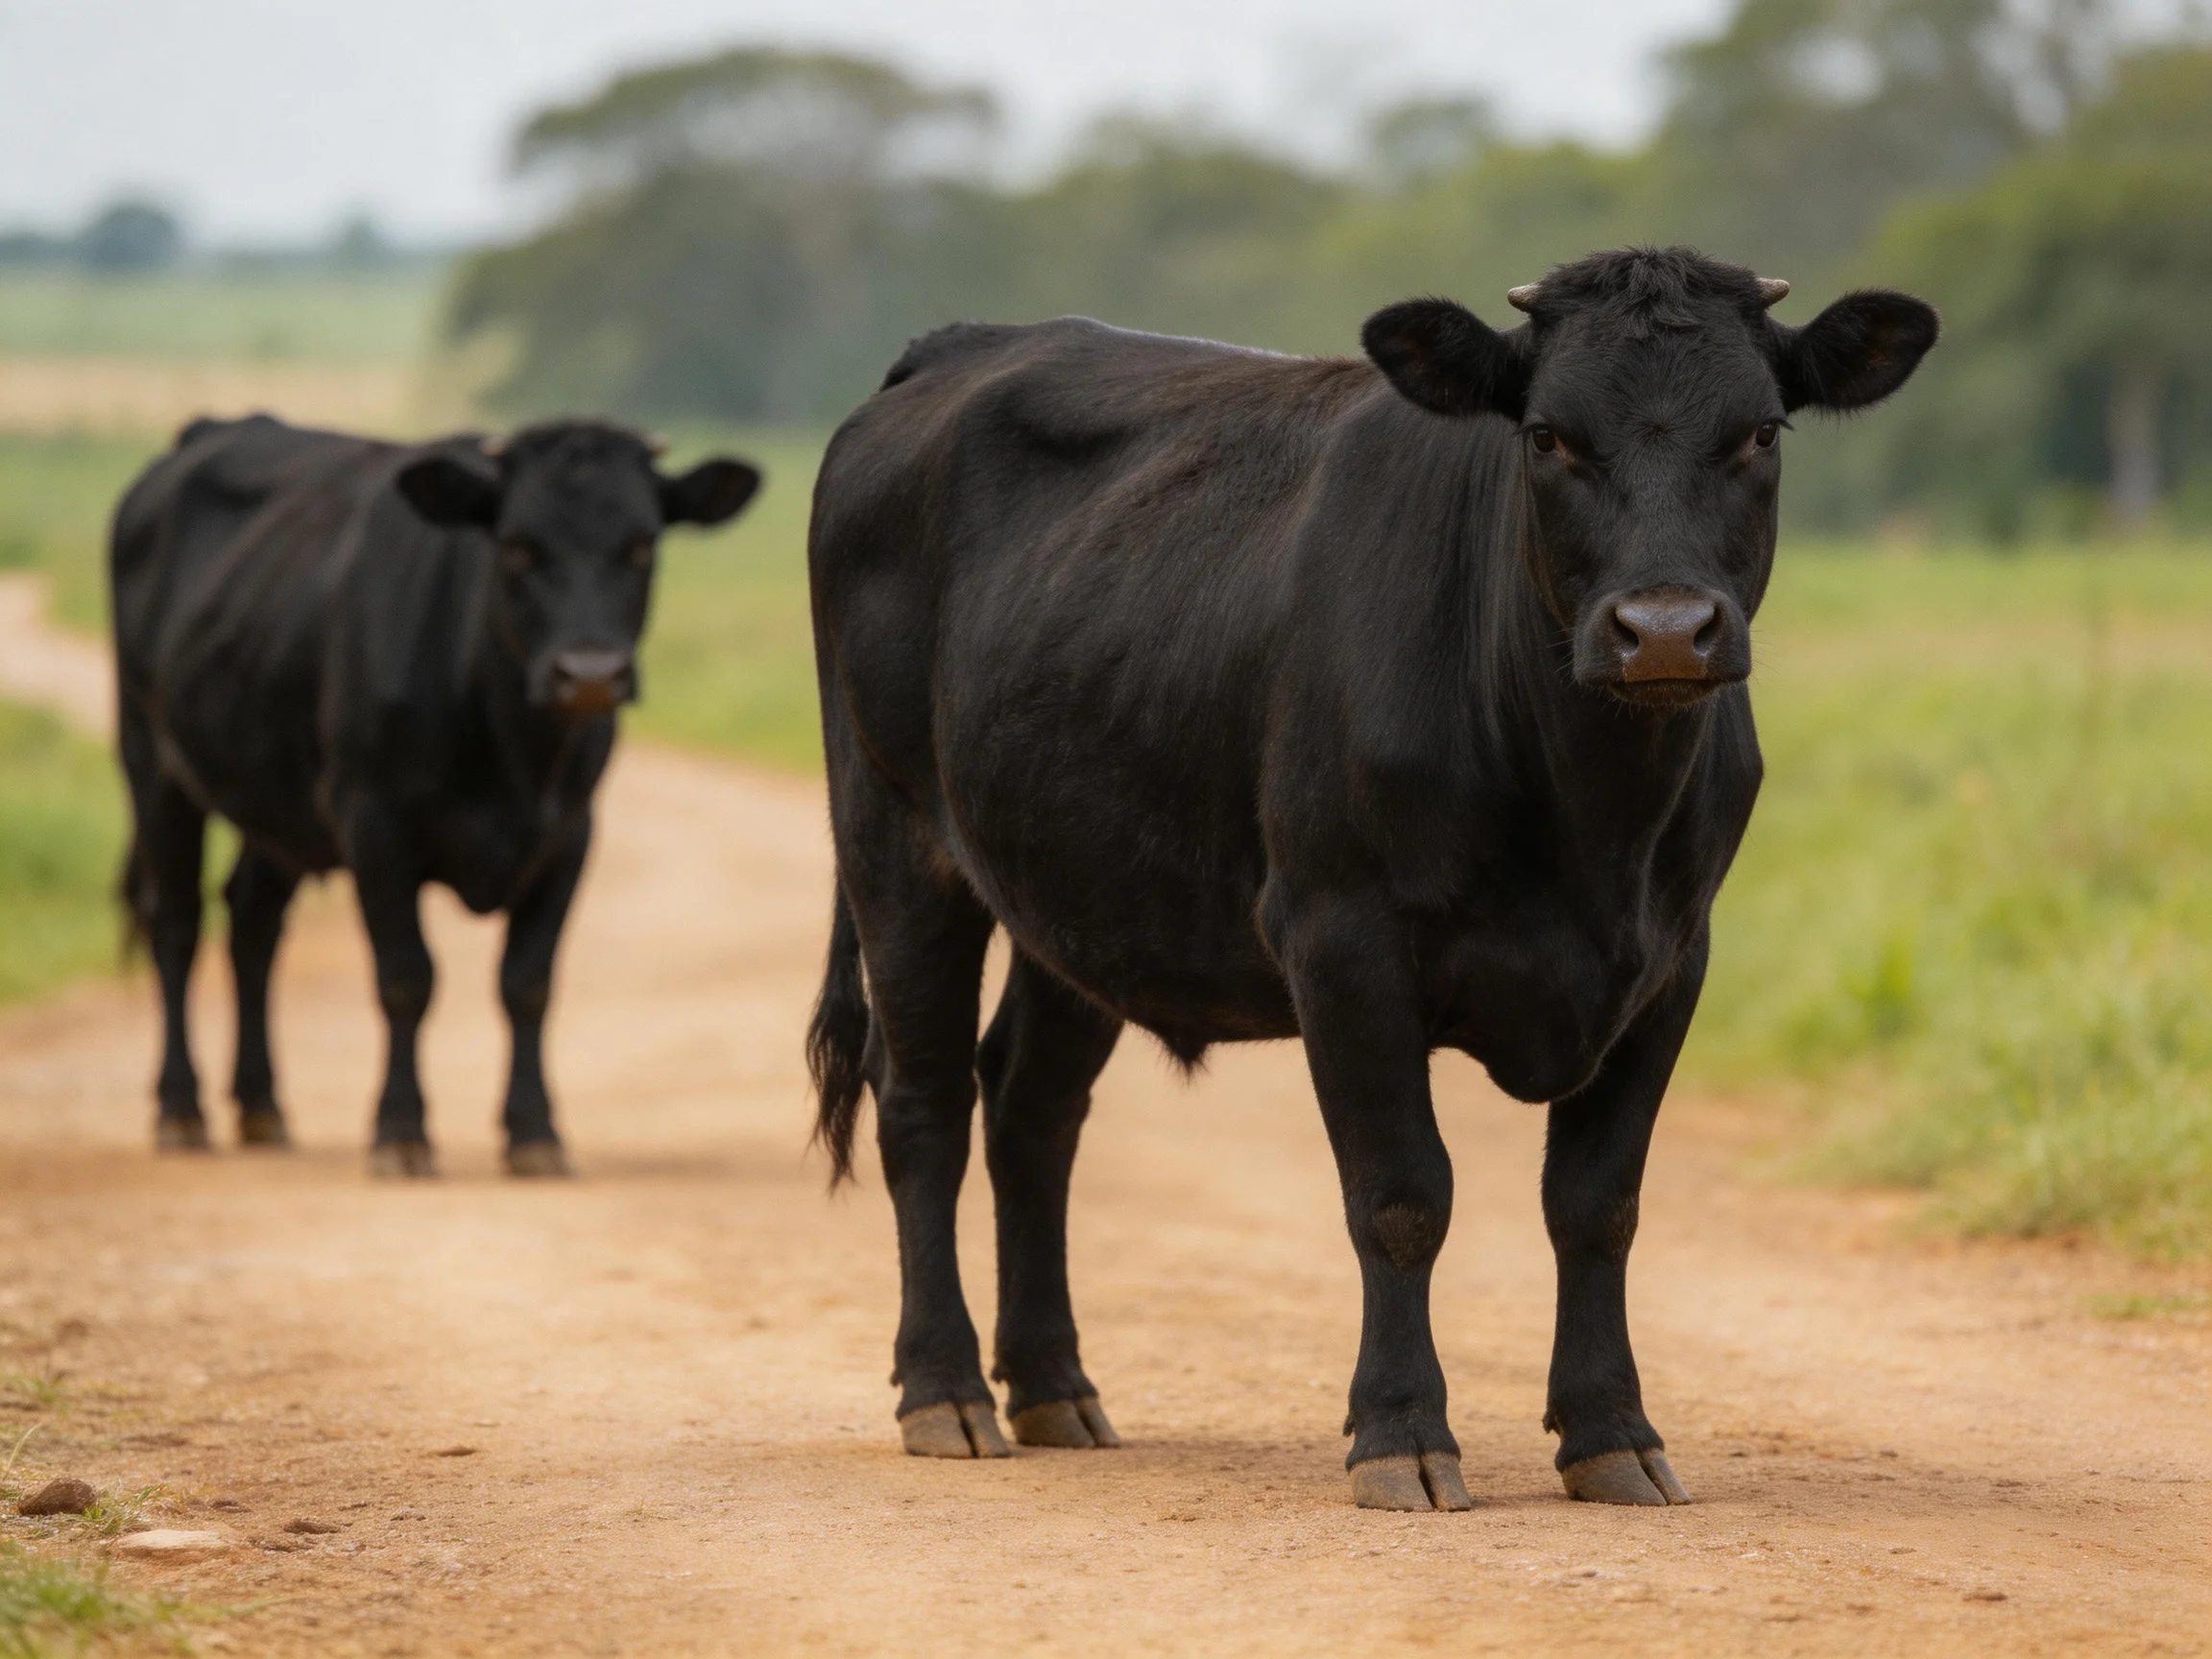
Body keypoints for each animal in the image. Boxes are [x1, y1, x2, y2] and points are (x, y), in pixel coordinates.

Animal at [111, 414, 759, 1177]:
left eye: (641, 544)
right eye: (516, 545)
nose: (591, 675)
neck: (511, 752)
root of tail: (216, 428)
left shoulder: (570, 835)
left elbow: (527, 982)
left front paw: (535, 1131)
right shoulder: (374, 825)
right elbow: (405, 978)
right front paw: (400, 1130)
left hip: (274, 798)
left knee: (252, 923)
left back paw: (262, 1105)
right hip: (153, 766)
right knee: (176, 923)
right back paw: (180, 1109)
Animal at [804, 247, 1937, 1508]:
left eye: (1761, 432)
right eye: (1547, 436)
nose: (1663, 630)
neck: (1590, 819)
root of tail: (964, 344)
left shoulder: (1671, 958)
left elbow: (1597, 1205)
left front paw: (1613, 1433)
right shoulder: (1343, 940)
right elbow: (1402, 1196)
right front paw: (1402, 1432)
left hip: (1080, 888)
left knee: (1030, 1110)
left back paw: (1054, 1386)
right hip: (896, 837)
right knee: (924, 1104)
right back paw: (944, 1390)